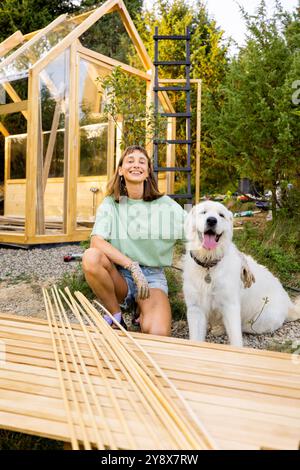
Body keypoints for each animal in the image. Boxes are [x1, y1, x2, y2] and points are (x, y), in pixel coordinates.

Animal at [183, 200, 300, 346]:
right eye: (203, 212)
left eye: (221, 215)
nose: (211, 220)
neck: (209, 263)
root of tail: (289, 304)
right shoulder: (195, 309)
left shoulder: (230, 306)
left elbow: (236, 339)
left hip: (256, 322)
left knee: (243, 326)